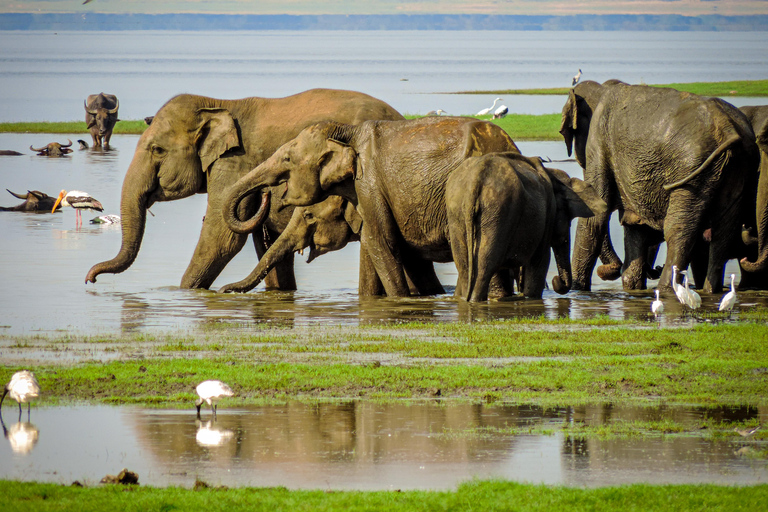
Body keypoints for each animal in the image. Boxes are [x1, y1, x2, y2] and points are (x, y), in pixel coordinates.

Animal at [85, 89, 404, 289]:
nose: (90, 280)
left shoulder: (235, 161)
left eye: (157, 150)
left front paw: (184, 293)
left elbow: (222, 238)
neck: (217, 103)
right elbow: (265, 243)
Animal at [222, 116, 520, 297]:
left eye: (286, 158)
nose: (224, 290)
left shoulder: (370, 184)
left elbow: (382, 243)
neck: (346, 131)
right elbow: (402, 254)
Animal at [446, 152, 607, 301]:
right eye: (568, 220)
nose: (556, 280)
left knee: (464, 267)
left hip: (458, 212)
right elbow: (540, 260)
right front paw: (531, 298)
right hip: (498, 211)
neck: (553, 175)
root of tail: (476, 178)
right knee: (484, 268)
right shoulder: (548, 213)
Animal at [560, 80, 760, 293]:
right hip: (738, 166)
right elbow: (635, 225)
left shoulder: (599, 140)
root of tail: (729, 128)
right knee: (723, 233)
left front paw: (576, 290)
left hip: (692, 168)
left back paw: (667, 288)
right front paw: (633, 288)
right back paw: (710, 291)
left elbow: (595, 219)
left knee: (678, 230)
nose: (608, 271)